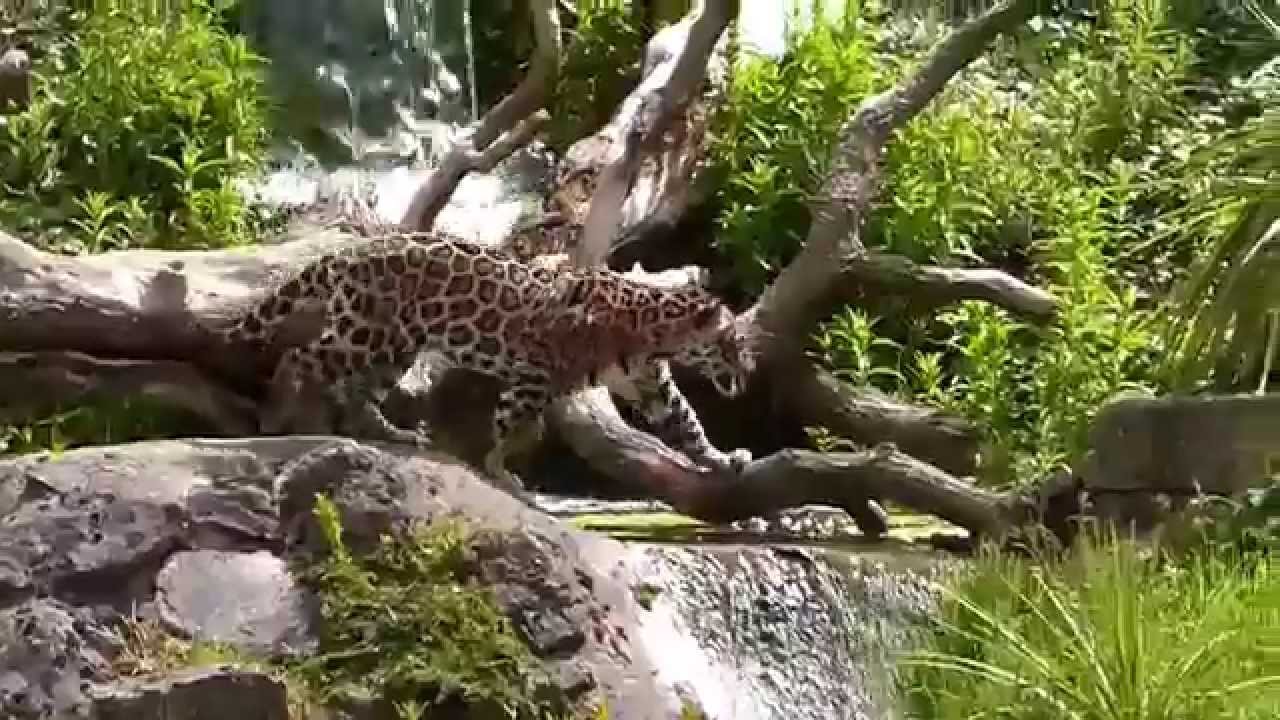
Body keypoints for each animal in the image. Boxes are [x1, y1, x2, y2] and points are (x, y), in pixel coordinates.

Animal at [223, 231, 758, 496]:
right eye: (731, 340)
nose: (749, 368)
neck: (656, 333)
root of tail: (350, 250)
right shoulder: (534, 375)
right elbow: (515, 427)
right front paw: (502, 473)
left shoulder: (651, 386)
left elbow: (687, 424)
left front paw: (721, 458)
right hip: (364, 332)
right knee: (300, 357)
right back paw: (280, 417)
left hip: (396, 343)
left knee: (358, 391)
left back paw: (395, 434)